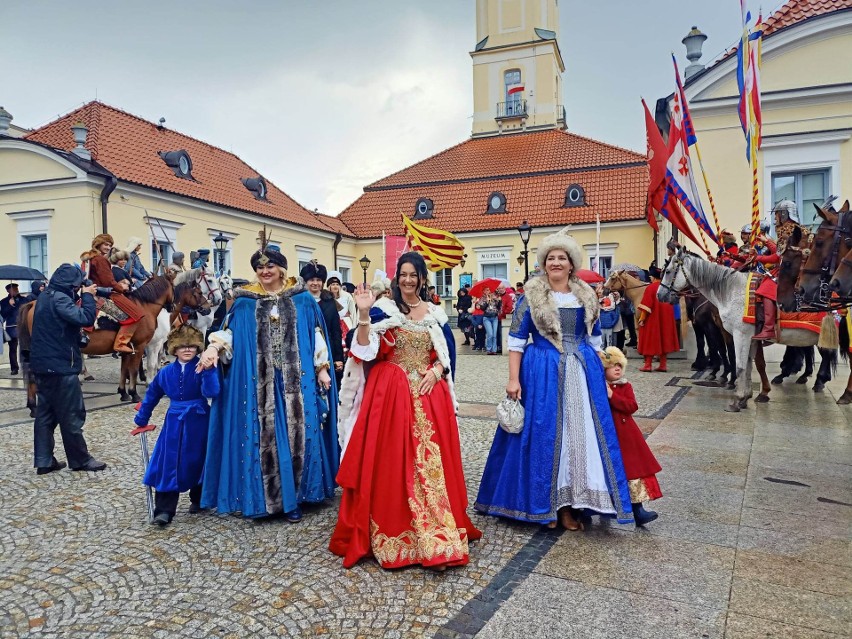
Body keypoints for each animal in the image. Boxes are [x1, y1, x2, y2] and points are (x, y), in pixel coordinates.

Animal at [21, 276, 173, 404]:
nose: (171, 307)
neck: (144, 307)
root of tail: (32, 304)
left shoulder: (127, 349)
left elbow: (124, 370)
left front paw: (123, 393)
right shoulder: (141, 346)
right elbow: (136, 370)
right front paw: (134, 393)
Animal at [660, 248, 832, 412]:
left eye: (667, 271)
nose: (659, 295)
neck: (731, 290)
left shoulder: (739, 335)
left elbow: (740, 365)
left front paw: (737, 399)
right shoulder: (749, 337)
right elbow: (750, 365)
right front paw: (746, 397)